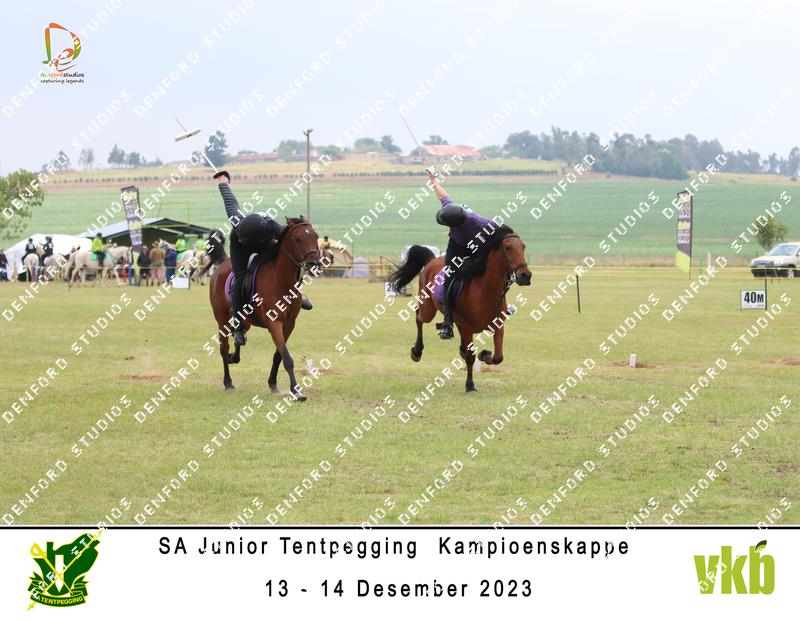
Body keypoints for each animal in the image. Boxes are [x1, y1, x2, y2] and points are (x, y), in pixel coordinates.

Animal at [205, 217, 322, 396]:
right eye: (297, 239)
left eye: (315, 236)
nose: (314, 263)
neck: (281, 281)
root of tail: (224, 261)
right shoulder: (274, 323)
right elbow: (286, 357)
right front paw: (295, 390)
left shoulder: (289, 325)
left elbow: (279, 355)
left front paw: (273, 383)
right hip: (221, 319)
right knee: (224, 348)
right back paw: (228, 381)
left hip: (245, 321)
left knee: (238, 337)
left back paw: (234, 355)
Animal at [389, 225, 532, 392]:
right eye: (508, 247)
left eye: (523, 247)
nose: (525, 276)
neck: (486, 288)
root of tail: (431, 260)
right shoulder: (466, 327)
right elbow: (471, 357)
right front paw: (470, 385)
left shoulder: (498, 326)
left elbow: (498, 357)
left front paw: (484, 355)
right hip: (428, 310)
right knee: (419, 317)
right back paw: (417, 351)